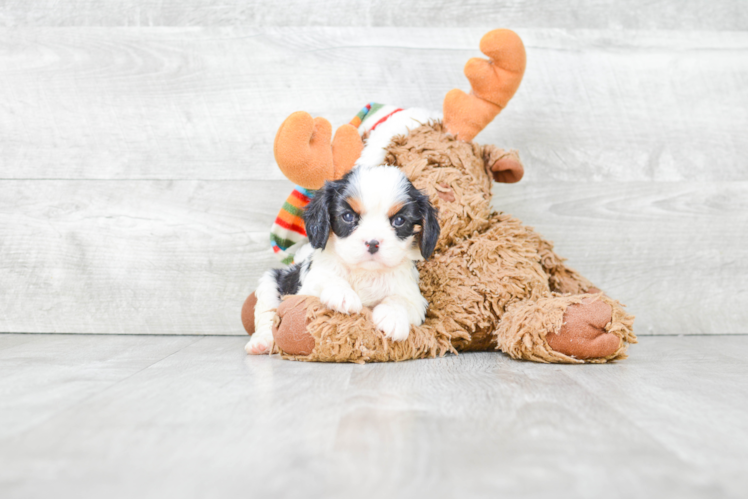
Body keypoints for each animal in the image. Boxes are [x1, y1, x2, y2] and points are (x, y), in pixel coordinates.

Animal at [248, 166, 442, 354]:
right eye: (348, 216)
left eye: (399, 220)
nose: (372, 243)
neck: (365, 273)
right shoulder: (306, 289)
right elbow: (326, 277)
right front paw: (342, 293)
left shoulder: (415, 300)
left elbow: (401, 300)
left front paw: (392, 317)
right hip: (271, 282)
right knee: (268, 317)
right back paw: (261, 342)